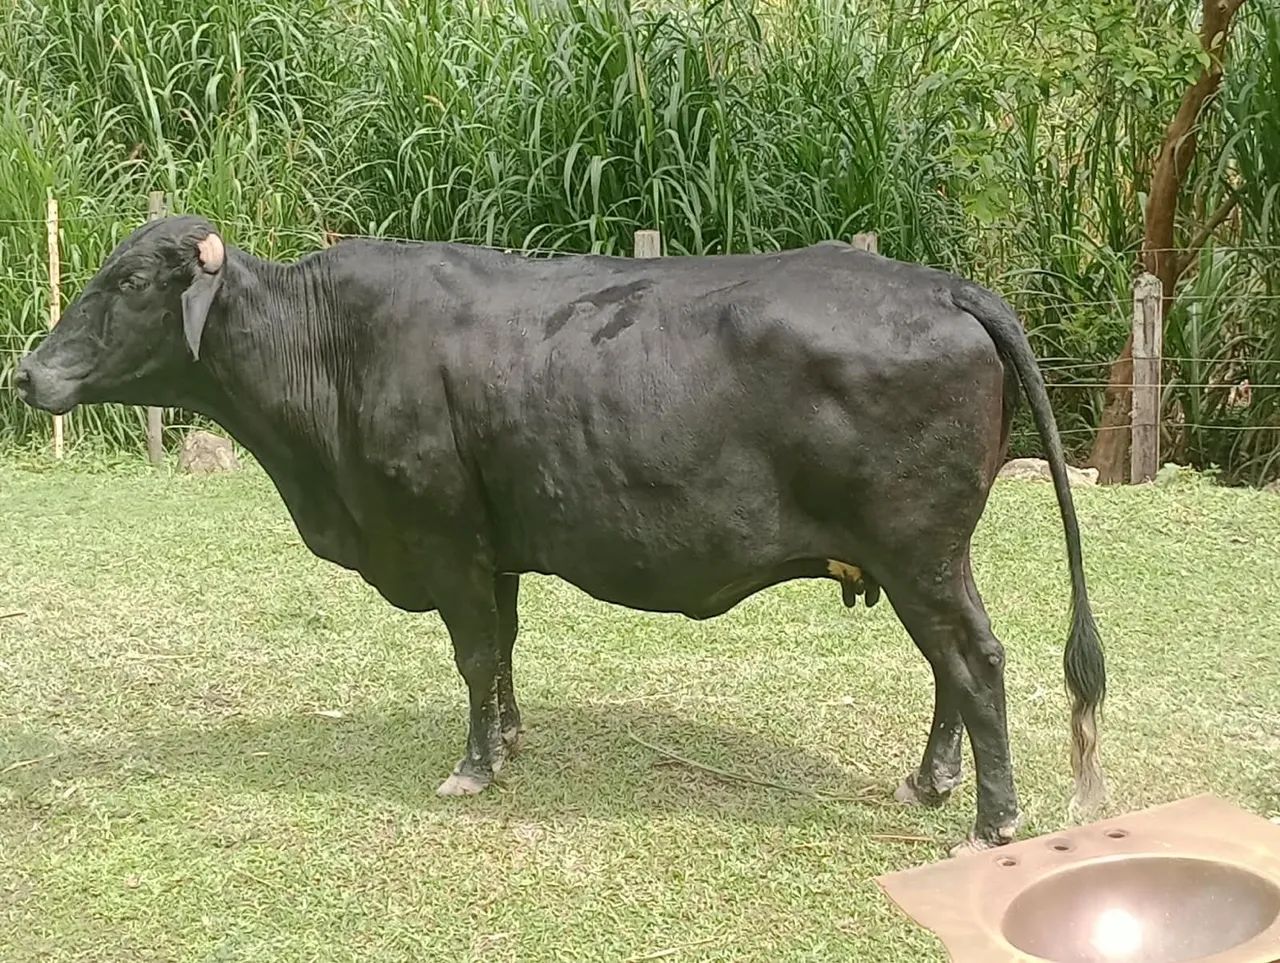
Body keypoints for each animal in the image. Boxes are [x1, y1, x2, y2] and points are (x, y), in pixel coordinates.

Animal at [13, 215, 1106, 851]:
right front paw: (507, 738)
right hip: (925, 553)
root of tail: (941, 285)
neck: (325, 353)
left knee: (974, 660)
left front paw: (472, 767)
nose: (27, 372)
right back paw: (931, 782)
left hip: (918, 548)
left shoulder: (443, 536)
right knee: (949, 666)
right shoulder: (492, 543)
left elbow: (471, 651)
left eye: (129, 284)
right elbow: (501, 648)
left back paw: (993, 821)